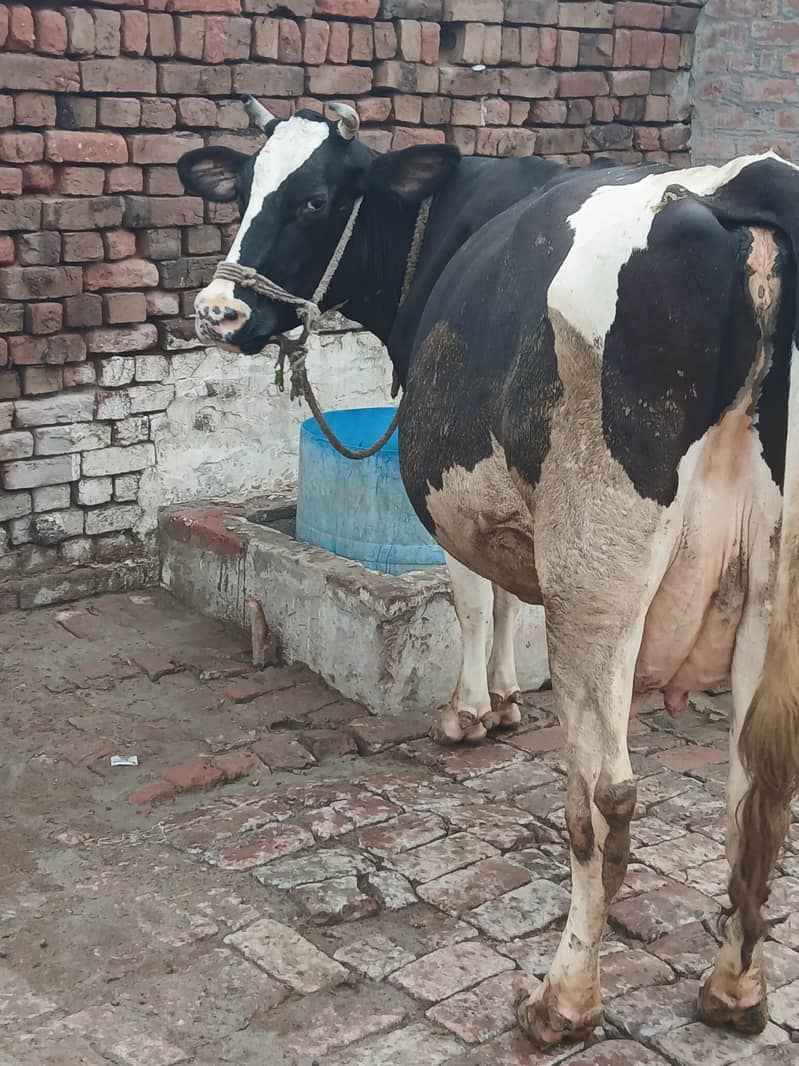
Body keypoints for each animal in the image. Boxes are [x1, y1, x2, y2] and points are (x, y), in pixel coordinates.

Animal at [178, 101, 799, 1049]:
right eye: (244, 186)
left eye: (316, 200)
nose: (215, 313)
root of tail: (751, 187)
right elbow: (510, 598)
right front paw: (507, 699)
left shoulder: (454, 491)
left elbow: (473, 596)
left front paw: (469, 713)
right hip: (770, 590)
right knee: (758, 787)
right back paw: (733, 993)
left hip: (599, 570)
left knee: (606, 795)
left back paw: (563, 1002)